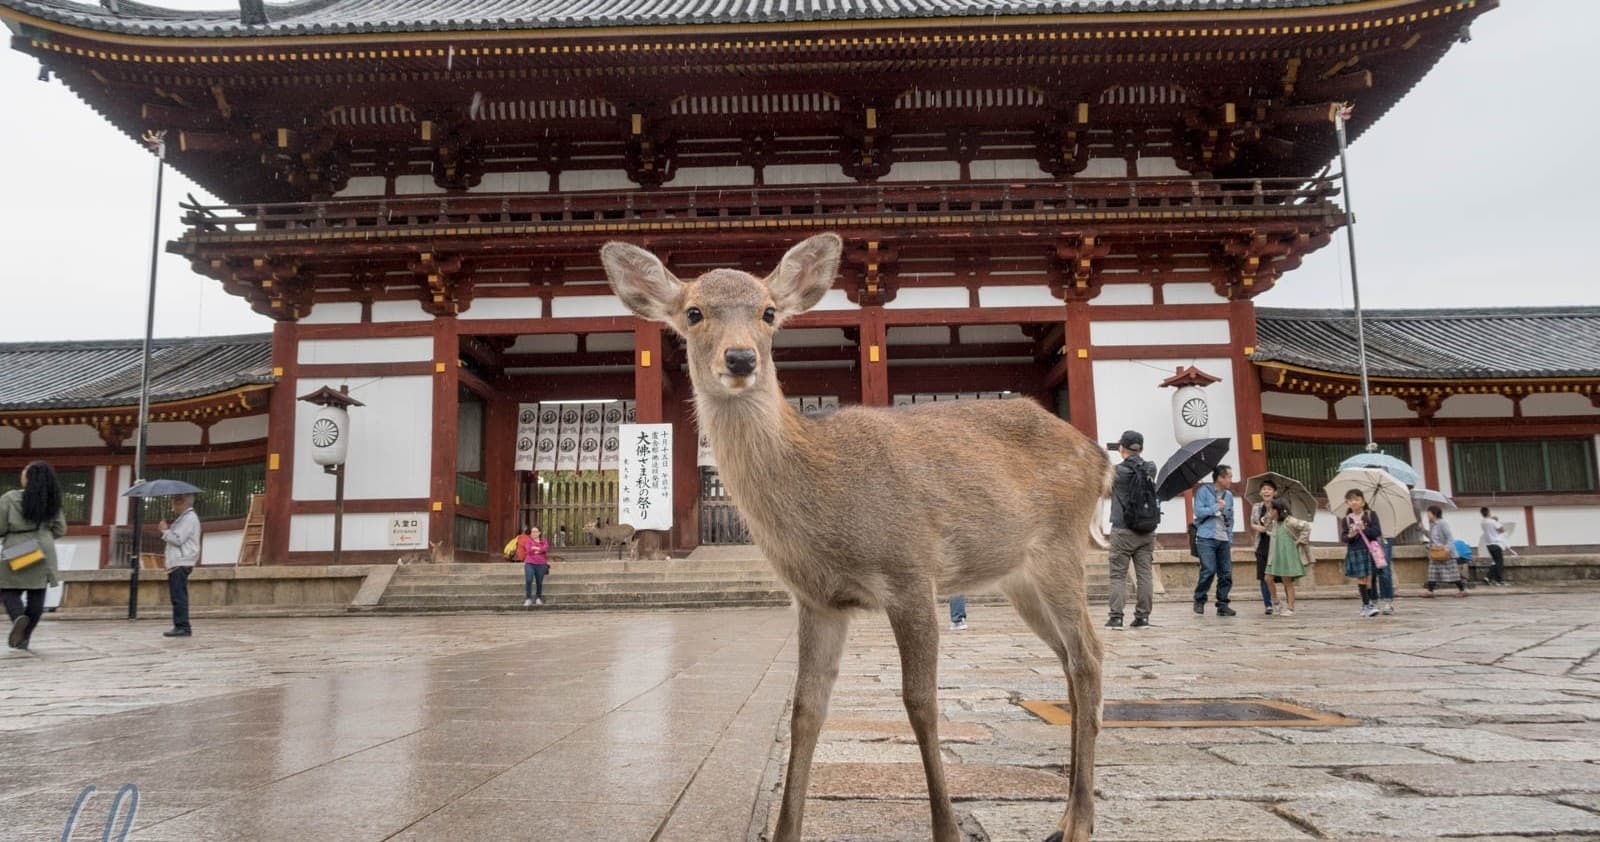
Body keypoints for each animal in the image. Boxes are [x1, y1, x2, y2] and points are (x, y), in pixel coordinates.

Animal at [601, 234, 1109, 842]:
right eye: (694, 312)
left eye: (769, 312)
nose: (741, 358)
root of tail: (1099, 457)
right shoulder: (817, 599)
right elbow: (805, 710)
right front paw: (785, 831)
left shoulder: (910, 571)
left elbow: (920, 702)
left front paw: (947, 829)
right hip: (1020, 578)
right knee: (1069, 660)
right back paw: (1069, 814)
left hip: (1060, 547)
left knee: (1088, 657)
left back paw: (1078, 821)